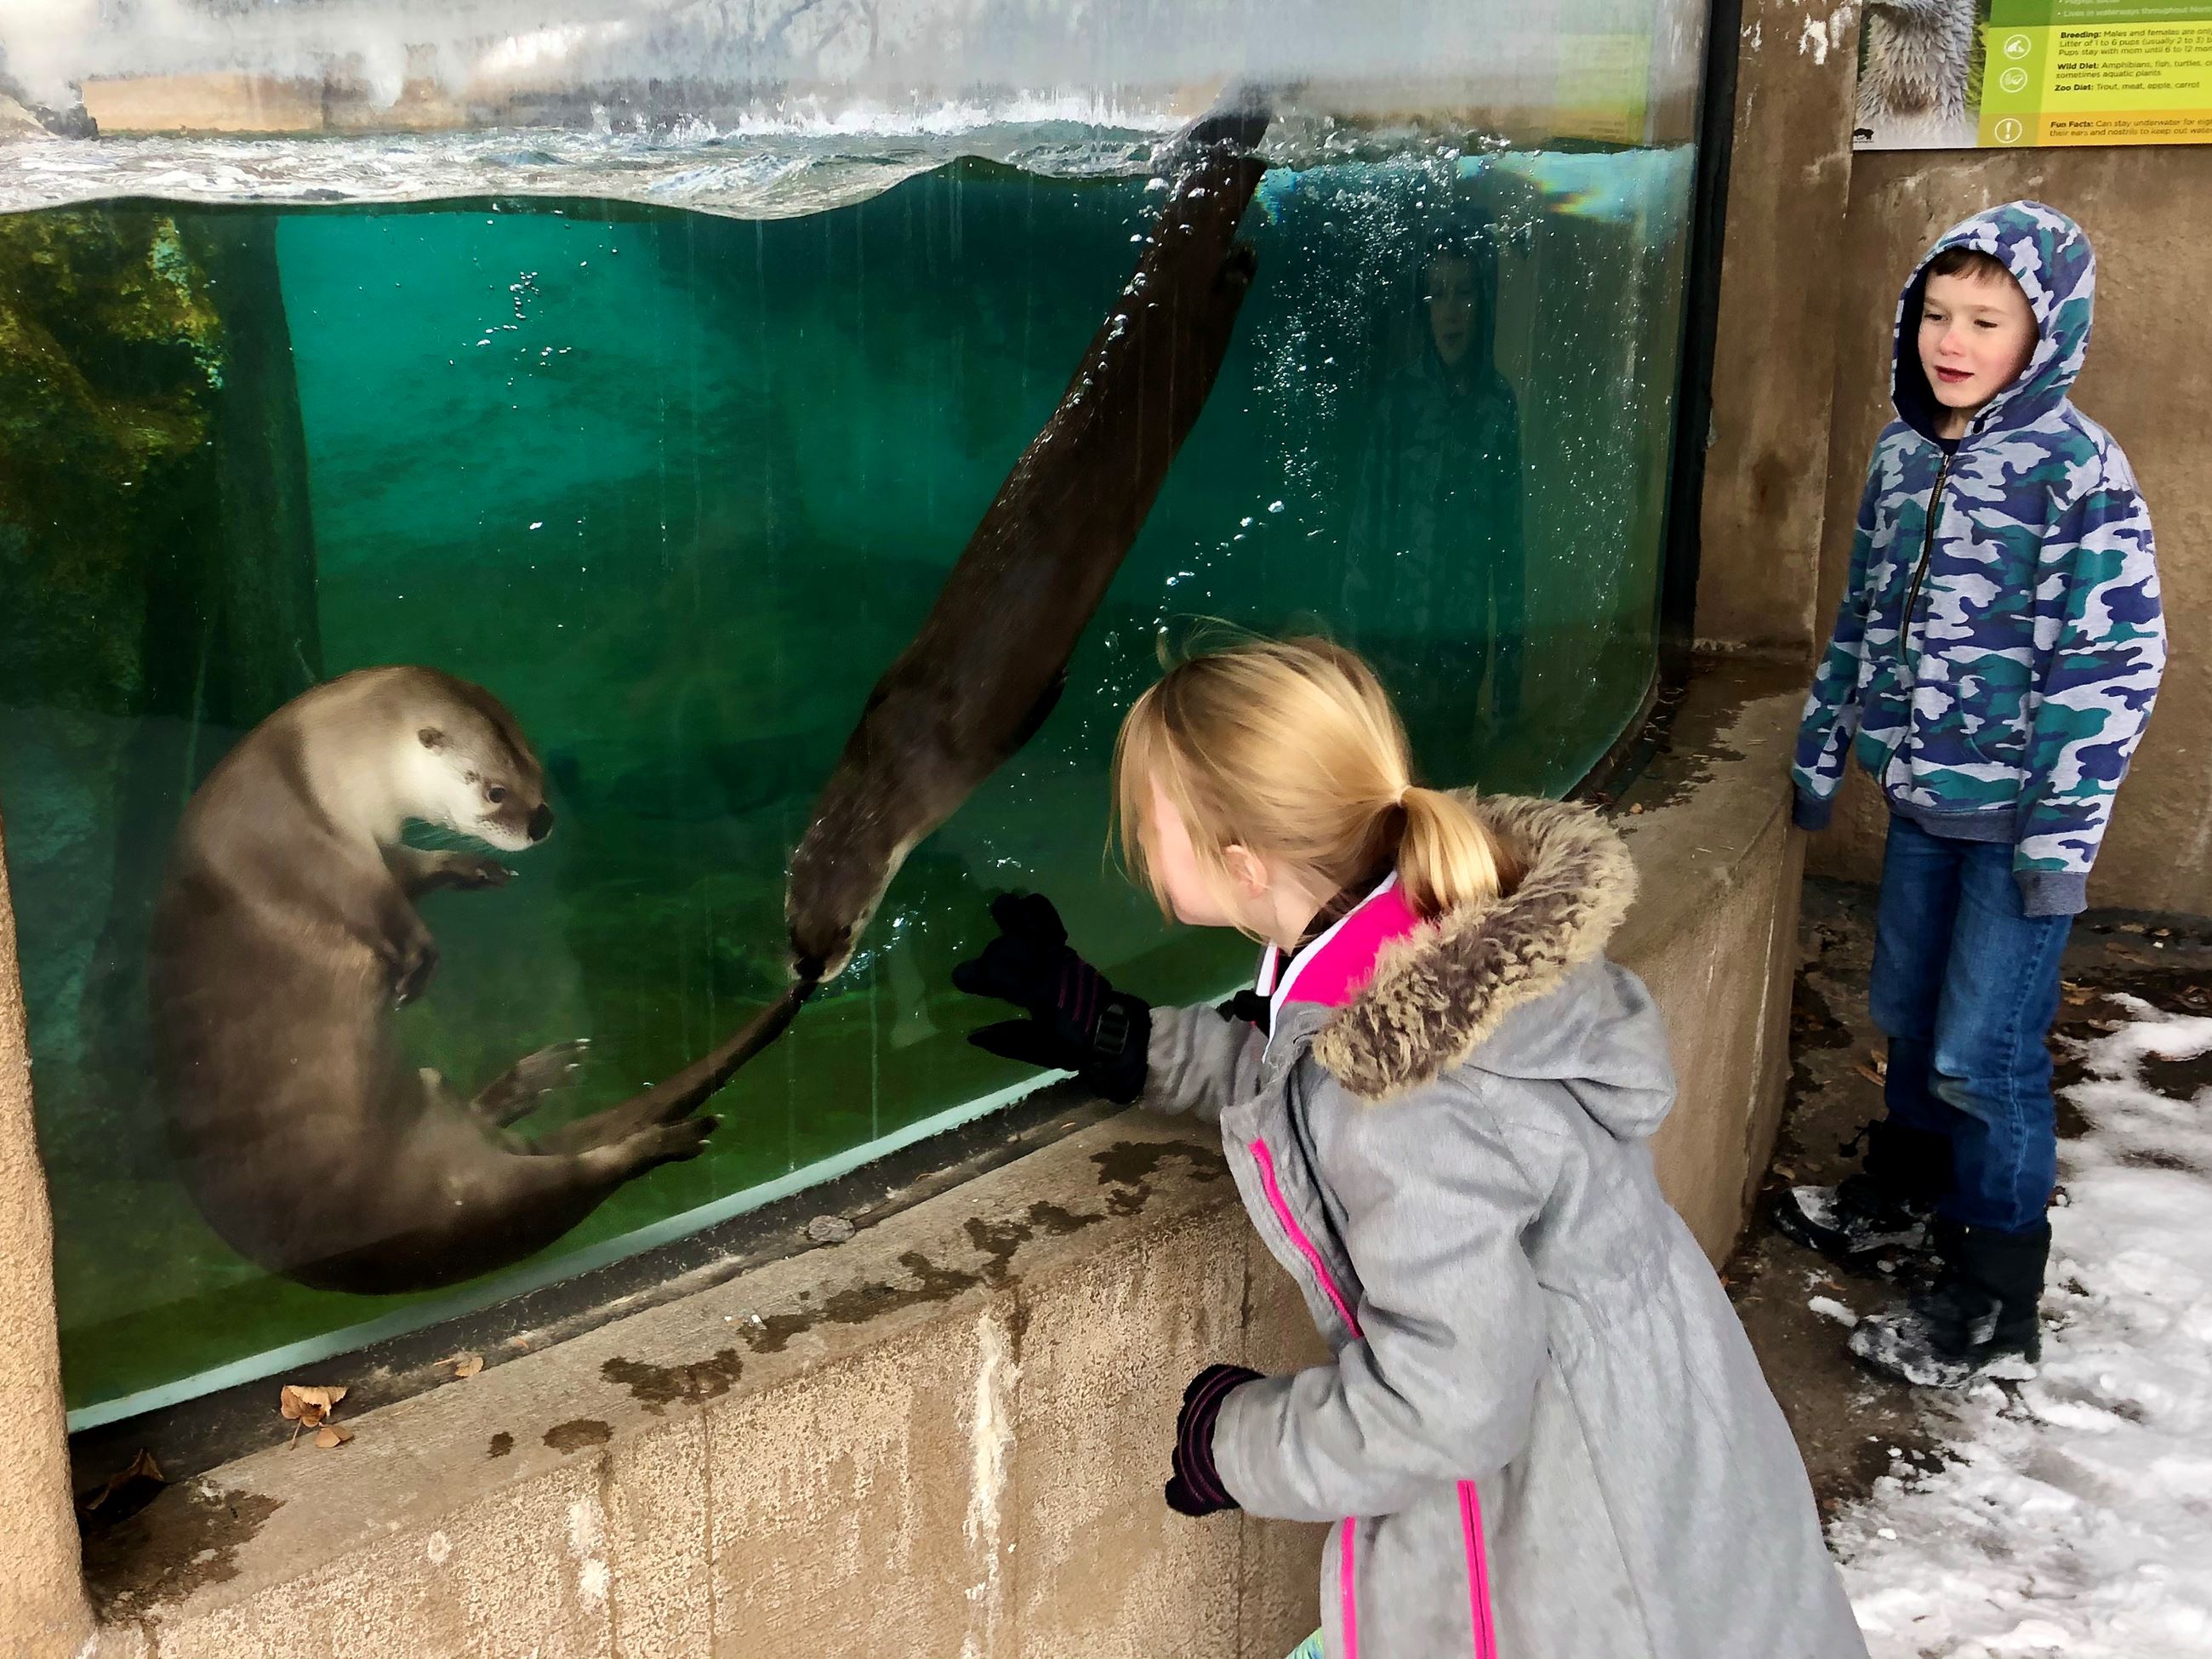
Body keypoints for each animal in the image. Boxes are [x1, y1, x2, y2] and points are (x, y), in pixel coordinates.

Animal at [149, 666, 807, 1295]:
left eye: (540, 772)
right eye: (494, 790)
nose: (541, 822)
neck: (308, 774)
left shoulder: (376, 843)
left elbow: (411, 871)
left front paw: (469, 869)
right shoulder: (302, 846)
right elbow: (376, 905)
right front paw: (418, 964)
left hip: (437, 1103)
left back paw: (536, 1078)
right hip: (462, 1202)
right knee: (581, 1179)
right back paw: (670, 1139)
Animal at [785, 103, 1272, 981]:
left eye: (843, 931)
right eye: (786, 916)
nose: (806, 970)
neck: (898, 758)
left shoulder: (979, 744)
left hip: (1188, 359)